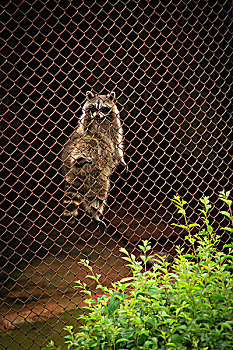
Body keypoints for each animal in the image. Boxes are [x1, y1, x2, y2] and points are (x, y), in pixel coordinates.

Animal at [62, 91, 126, 226]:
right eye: (93, 108)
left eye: (103, 108)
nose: (96, 115)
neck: (101, 120)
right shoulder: (85, 128)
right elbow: (86, 128)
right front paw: (88, 115)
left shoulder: (115, 123)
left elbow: (116, 141)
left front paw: (121, 158)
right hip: (77, 152)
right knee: (91, 141)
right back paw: (78, 160)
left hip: (97, 178)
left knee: (98, 193)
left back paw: (95, 213)